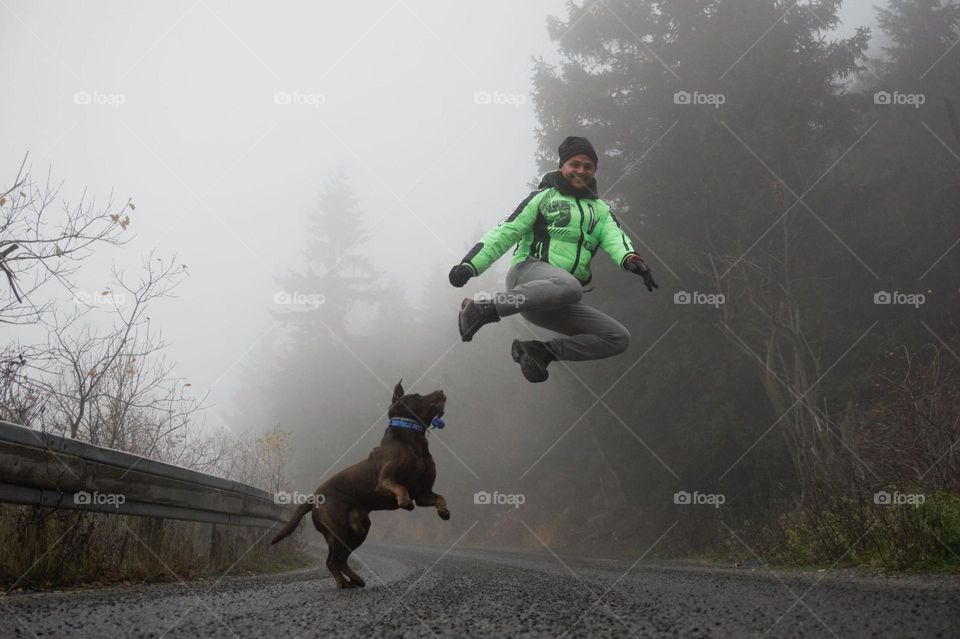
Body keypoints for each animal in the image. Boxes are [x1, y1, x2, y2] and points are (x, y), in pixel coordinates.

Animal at [270, 380, 450, 592]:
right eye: (416, 396)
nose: (441, 390)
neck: (411, 441)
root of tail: (314, 497)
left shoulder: (423, 493)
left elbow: (440, 497)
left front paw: (444, 511)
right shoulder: (384, 482)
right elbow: (400, 488)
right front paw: (405, 502)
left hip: (359, 531)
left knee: (341, 559)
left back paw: (355, 579)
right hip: (338, 530)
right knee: (332, 560)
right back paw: (342, 583)